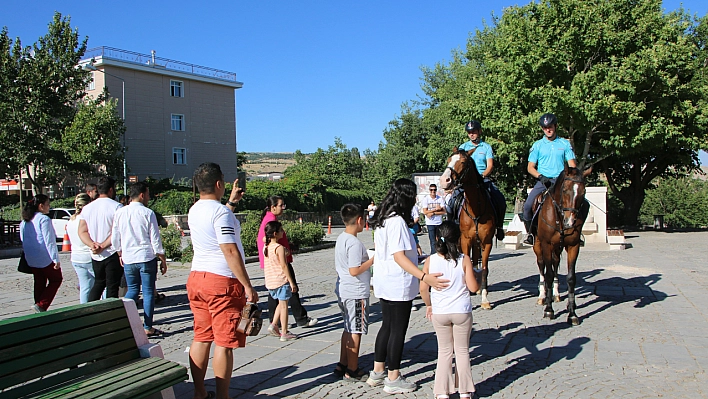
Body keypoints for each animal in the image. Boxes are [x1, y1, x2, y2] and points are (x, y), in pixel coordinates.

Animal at [440, 148, 496, 310]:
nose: (444, 180)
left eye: (464, 162)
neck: (476, 210)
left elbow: (484, 269)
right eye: (448, 160)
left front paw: (485, 299)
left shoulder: (487, 242)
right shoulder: (465, 241)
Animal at [532, 166, 592, 324]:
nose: (569, 222)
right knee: (542, 265)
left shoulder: (573, 246)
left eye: (583, 191)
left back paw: (556, 294)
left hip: (557, 248)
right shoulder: (546, 245)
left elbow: (571, 278)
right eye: (564, 190)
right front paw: (548, 310)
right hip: (539, 246)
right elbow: (548, 275)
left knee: (555, 263)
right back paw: (542, 296)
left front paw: (572, 313)